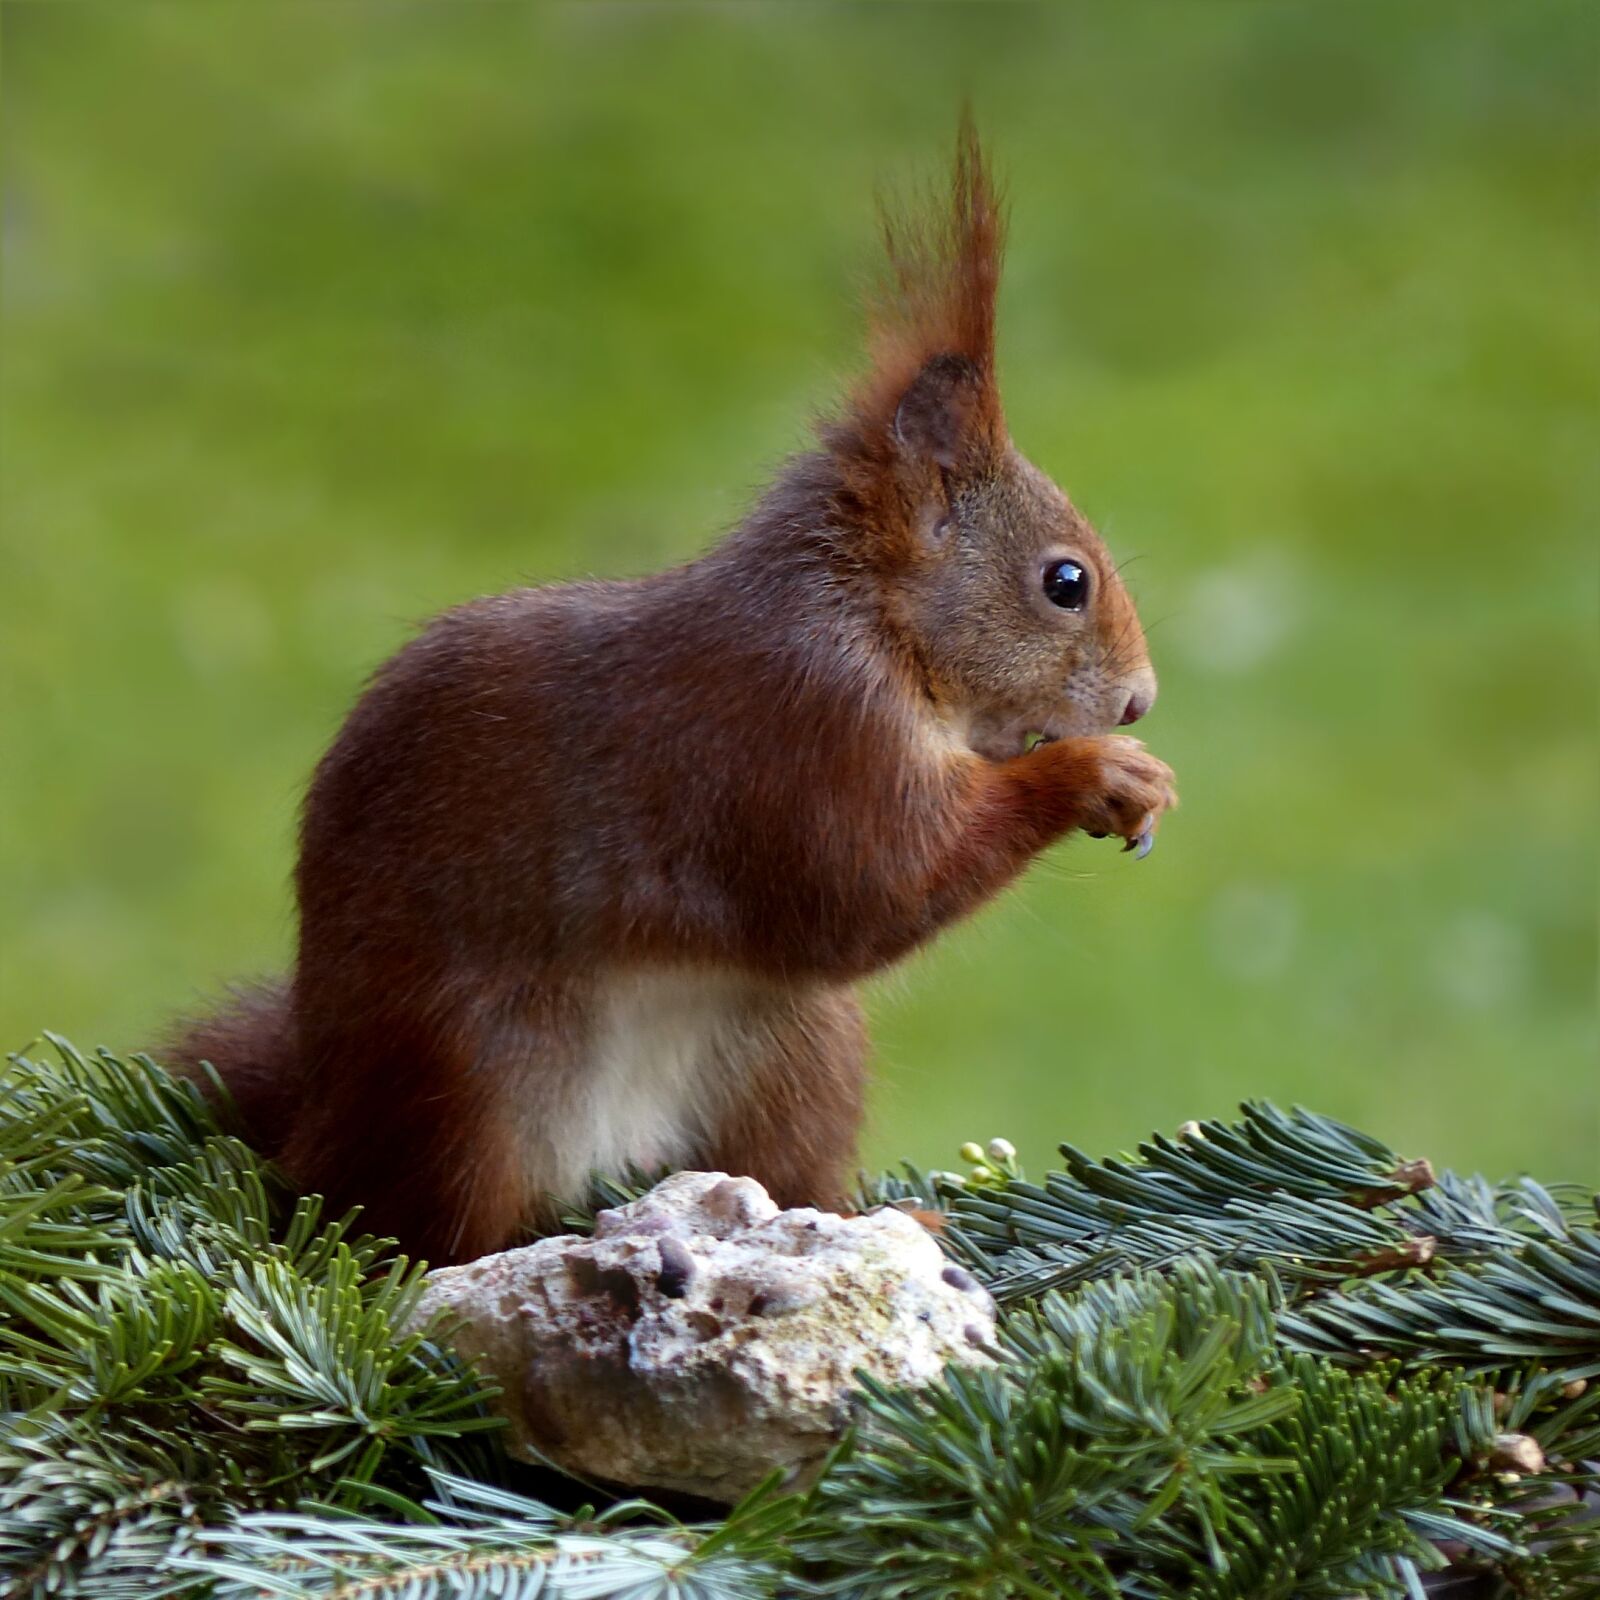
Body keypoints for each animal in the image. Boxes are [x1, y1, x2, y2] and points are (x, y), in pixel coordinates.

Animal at [168, 125, 1176, 1265]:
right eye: (1066, 582)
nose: (1138, 702)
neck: (873, 620)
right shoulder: (799, 729)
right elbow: (873, 886)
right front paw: (1098, 773)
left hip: (795, 1052)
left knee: (779, 1168)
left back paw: (871, 1219)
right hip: (464, 1076)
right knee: (411, 1232)